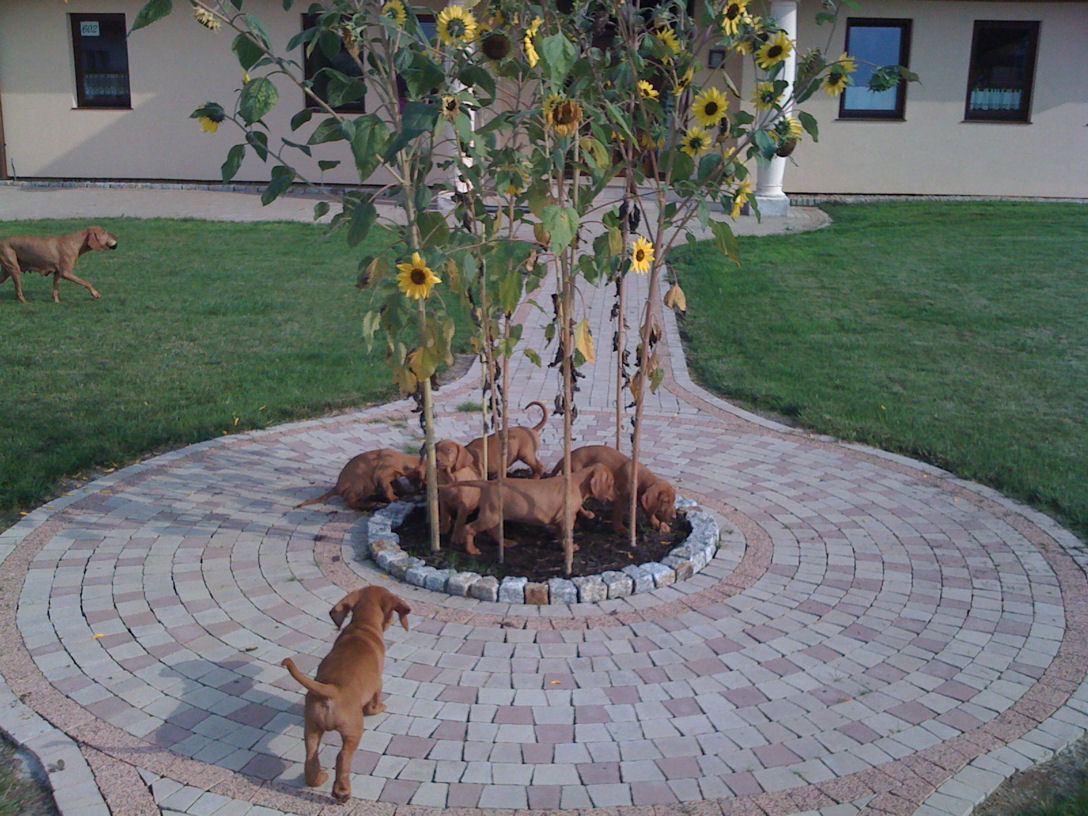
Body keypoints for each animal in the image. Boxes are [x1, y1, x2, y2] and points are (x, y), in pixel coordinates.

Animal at [282, 586, 411, 802]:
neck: (363, 624)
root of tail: (331, 689)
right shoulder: (378, 681)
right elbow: (374, 702)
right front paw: (378, 708)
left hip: (312, 727)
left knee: (310, 755)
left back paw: (318, 778)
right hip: (353, 730)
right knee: (343, 757)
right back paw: (342, 792)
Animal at [460, 463, 614, 555]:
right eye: (612, 482)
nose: (616, 495)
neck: (577, 482)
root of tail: (488, 483)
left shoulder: (559, 519)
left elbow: (560, 533)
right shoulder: (567, 518)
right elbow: (567, 535)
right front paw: (570, 548)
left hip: (496, 515)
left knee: (494, 531)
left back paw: (507, 543)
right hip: (490, 516)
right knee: (469, 528)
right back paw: (472, 550)